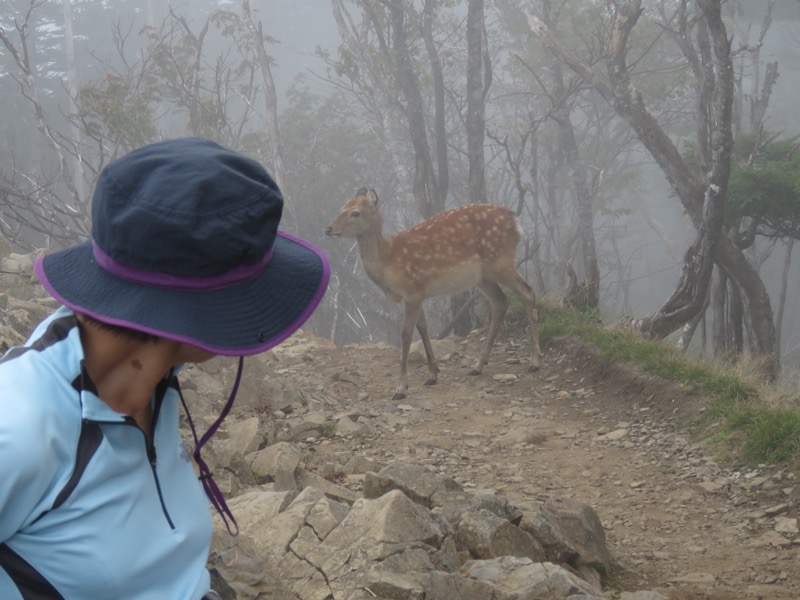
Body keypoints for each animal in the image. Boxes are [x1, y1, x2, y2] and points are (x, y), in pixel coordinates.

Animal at [326, 188, 544, 398]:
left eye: (355, 212)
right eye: (341, 208)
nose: (328, 229)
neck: (388, 262)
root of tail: (515, 221)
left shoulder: (412, 291)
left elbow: (406, 334)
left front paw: (401, 388)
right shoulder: (419, 294)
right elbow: (423, 328)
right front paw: (432, 375)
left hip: (499, 260)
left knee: (527, 292)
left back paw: (534, 362)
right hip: (483, 276)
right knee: (501, 302)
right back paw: (477, 366)